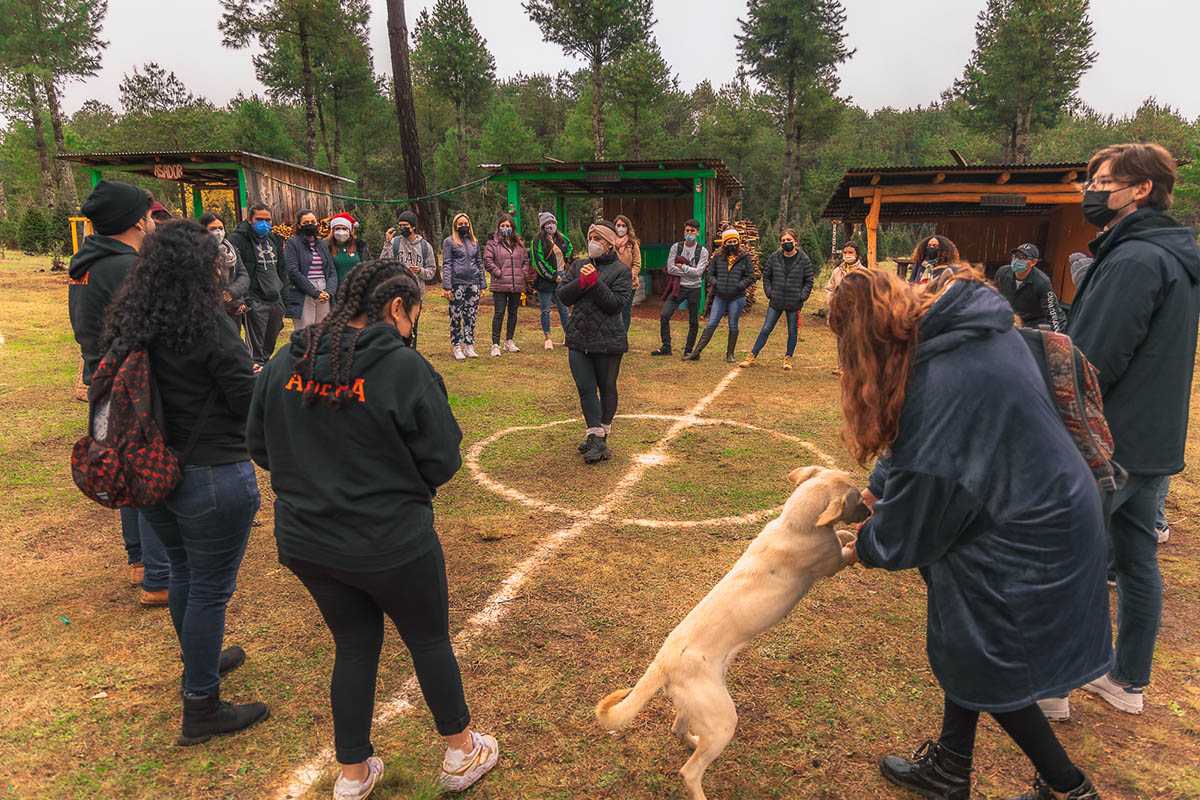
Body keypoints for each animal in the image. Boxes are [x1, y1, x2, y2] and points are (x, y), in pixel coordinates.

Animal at [595, 465, 868, 796]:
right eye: (857, 498)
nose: (870, 509)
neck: (794, 525)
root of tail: (662, 663)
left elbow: (840, 534)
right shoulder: (831, 562)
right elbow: (843, 544)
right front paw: (852, 539)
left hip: (696, 709)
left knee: (679, 730)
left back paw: (692, 742)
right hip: (723, 721)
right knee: (690, 772)